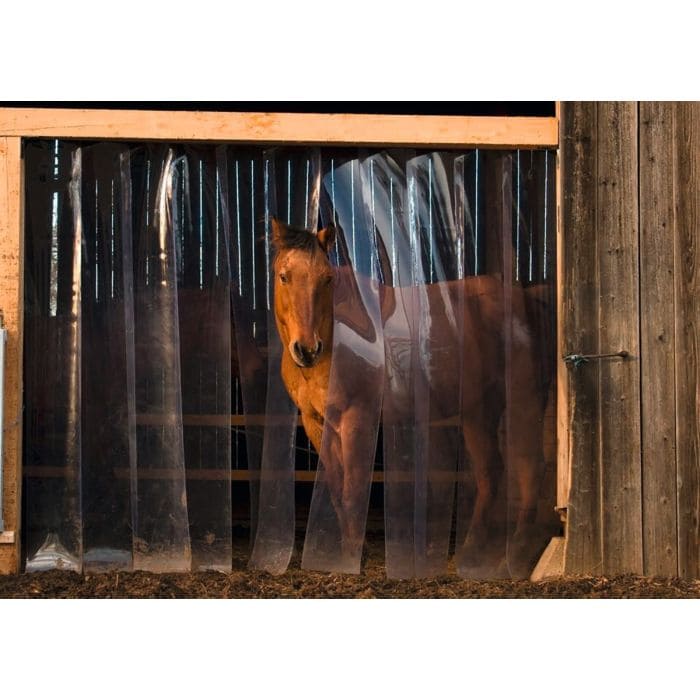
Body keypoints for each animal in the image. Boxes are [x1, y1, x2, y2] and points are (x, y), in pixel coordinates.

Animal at [271, 218, 553, 578]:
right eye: (284, 276)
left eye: (327, 278)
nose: (307, 349)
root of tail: (528, 300)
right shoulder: (316, 423)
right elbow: (336, 487)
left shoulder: (357, 420)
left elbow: (352, 489)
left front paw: (351, 555)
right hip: (479, 413)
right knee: (491, 474)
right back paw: (473, 550)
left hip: (523, 403)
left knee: (528, 468)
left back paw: (511, 554)